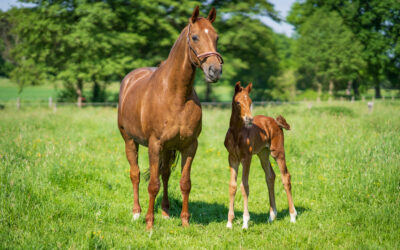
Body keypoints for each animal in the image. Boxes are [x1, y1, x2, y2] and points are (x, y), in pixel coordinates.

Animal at [119, 6, 223, 229]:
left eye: (216, 37)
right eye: (194, 37)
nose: (215, 71)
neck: (176, 96)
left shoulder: (189, 146)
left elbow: (185, 183)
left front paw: (185, 221)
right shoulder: (154, 144)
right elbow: (152, 184)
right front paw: (149, 224)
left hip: (167, 149)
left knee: (165, 174)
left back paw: (166, 212)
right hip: (130, 140)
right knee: (135, 174)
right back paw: (136, 213)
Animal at [225, 81, 296, 229]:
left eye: (250, 101)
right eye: (238, 102)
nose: (249, 119)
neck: (237, 133)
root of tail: (275, 121)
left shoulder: (247, 158)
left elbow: (244, 186)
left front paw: (245, 222)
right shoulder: (232, 158)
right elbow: (233, 186)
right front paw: (229, 223)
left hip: (277, 152)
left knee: (285, 176)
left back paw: (293, 216)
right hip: (263, 153)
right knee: (270, 176)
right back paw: (271, 216)